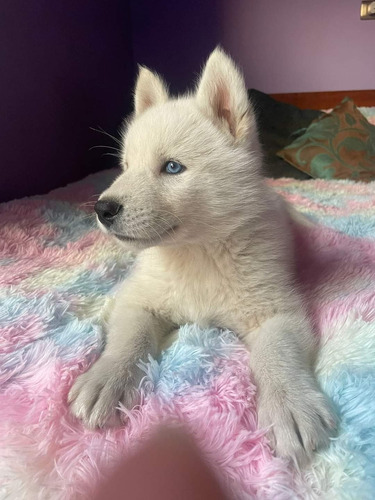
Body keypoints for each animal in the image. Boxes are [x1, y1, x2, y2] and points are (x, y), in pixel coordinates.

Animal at [69, 47, 336, 464]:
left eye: (172, 167)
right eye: (126, 166)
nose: (103, 209)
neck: (196, 252)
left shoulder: (277, 309)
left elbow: (277, 352)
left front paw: (290, 404)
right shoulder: (138, 297)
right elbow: (128, 338)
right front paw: (106, 377)